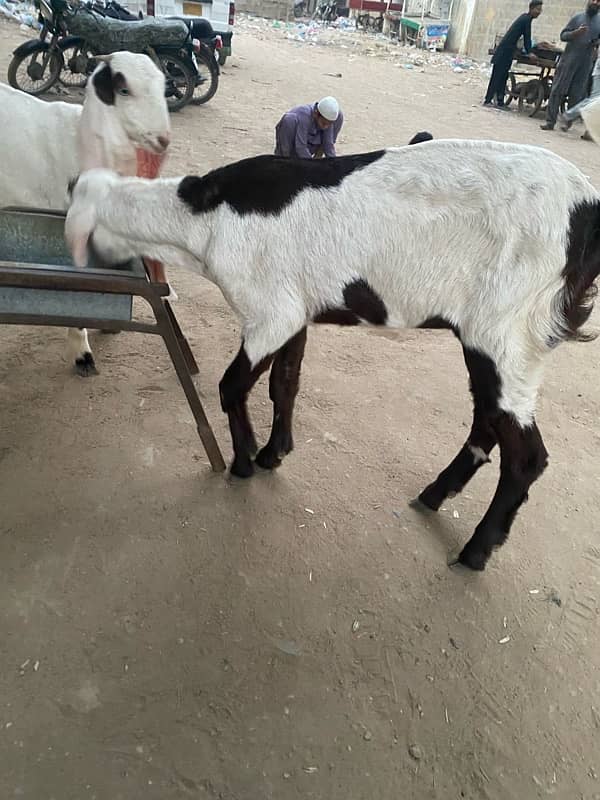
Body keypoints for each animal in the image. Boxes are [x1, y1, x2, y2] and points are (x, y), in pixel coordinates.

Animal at [64, 138, 600, 572]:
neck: (201, 219)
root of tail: (588, 213)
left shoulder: (269, 311)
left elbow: (231, 385)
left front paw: (242, 462)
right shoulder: (296, 310)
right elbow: (285, 383)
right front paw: (273, 452)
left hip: (507, 329)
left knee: (525, 454)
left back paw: (474, 552)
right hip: (499, 338)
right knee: (488, 420)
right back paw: (433, 496)